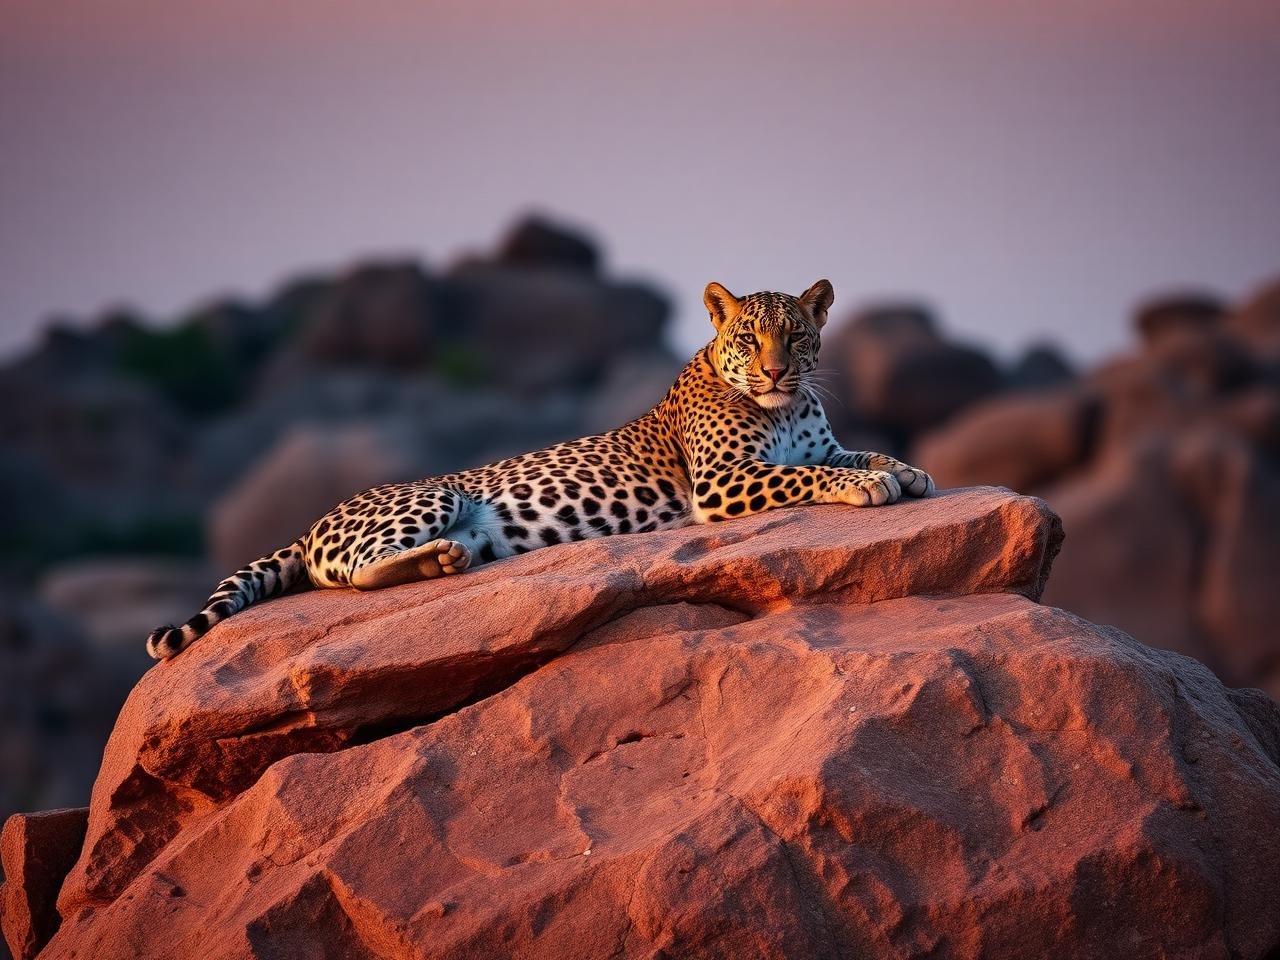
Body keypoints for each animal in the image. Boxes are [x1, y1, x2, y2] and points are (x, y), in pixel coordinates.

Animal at [146, 279, 934, 659]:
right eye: (748, 337)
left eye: (796, 336)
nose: (773, 371)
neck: (788, 407)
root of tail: (312, 523)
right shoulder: (724, 479)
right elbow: (811, 477)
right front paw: (870, 485)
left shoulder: (819, 444)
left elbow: (856, 453)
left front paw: (908, 471)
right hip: (430, 497)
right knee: (349, 574)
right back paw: (441, 558)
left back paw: (449, 559)